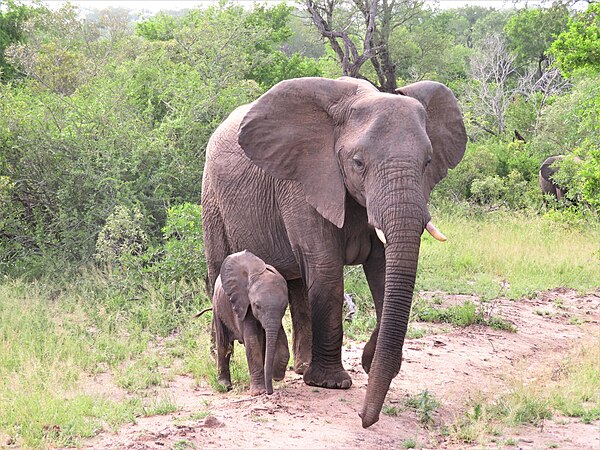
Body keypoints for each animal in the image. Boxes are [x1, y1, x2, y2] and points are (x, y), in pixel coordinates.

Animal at [211, 250, 290, 394]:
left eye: (285, 306)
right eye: (257, 306)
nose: (270, 392)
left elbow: (281, 339)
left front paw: (276, 375)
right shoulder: (242, 304)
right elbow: (252, 341)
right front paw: (259, 392)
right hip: (217, 307)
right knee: (224, 344)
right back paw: (225, 386)